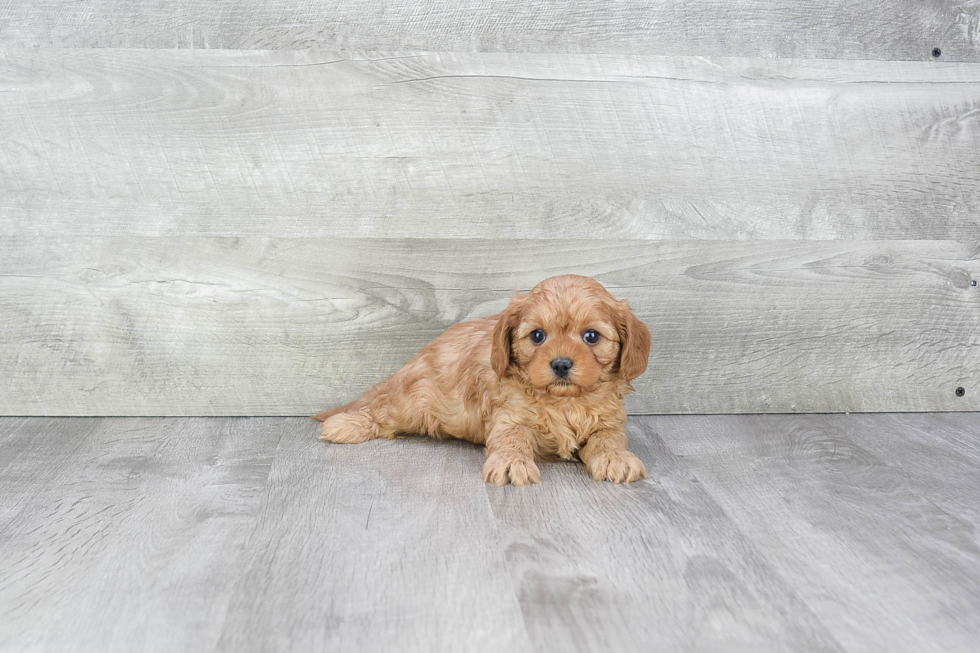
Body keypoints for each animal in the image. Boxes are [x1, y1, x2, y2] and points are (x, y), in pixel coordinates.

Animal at [314, 272, 652, 484]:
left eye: (591, 336)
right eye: (537, 336)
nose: (560, 364)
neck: (565, 401)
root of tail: (414, 360)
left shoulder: (609, 421)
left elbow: (607, 439)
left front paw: (616, 458)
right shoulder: (508, 416)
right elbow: (512, 438)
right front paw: (511, 463)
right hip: (415, 401)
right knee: (381, 409)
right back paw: (346, 425)